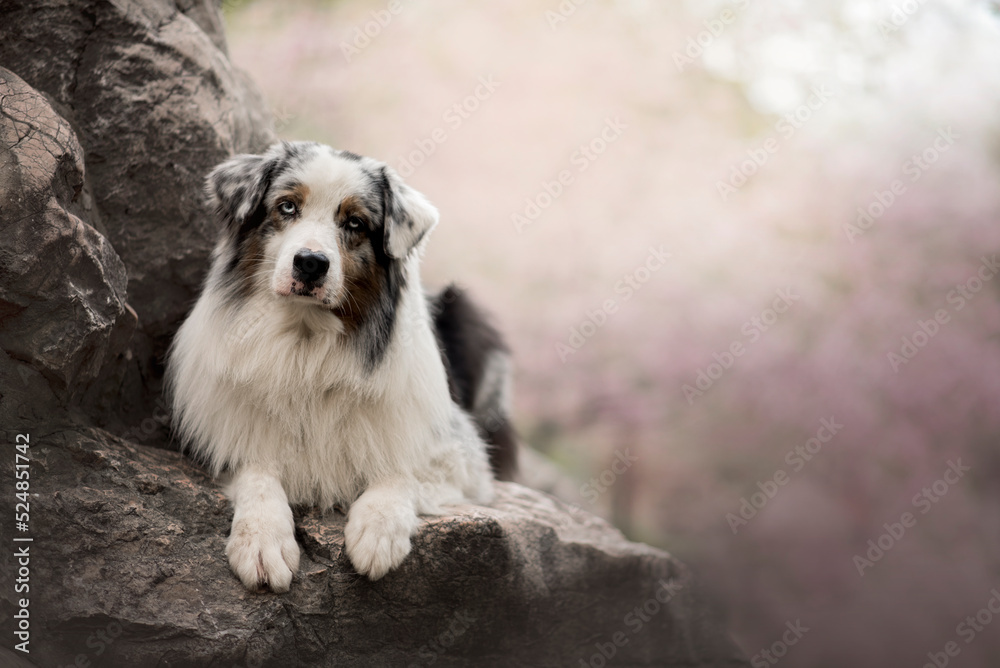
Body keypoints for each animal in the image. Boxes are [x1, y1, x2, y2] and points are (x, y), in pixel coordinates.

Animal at [166, 140, 516, 588]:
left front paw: (378, 531)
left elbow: (399, 467)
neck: (307, 344)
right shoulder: (228, 436)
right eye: (287, 207)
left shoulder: (458, 451)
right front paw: (262, 540)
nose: (311, 263)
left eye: (354, 222)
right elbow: (257, 473)